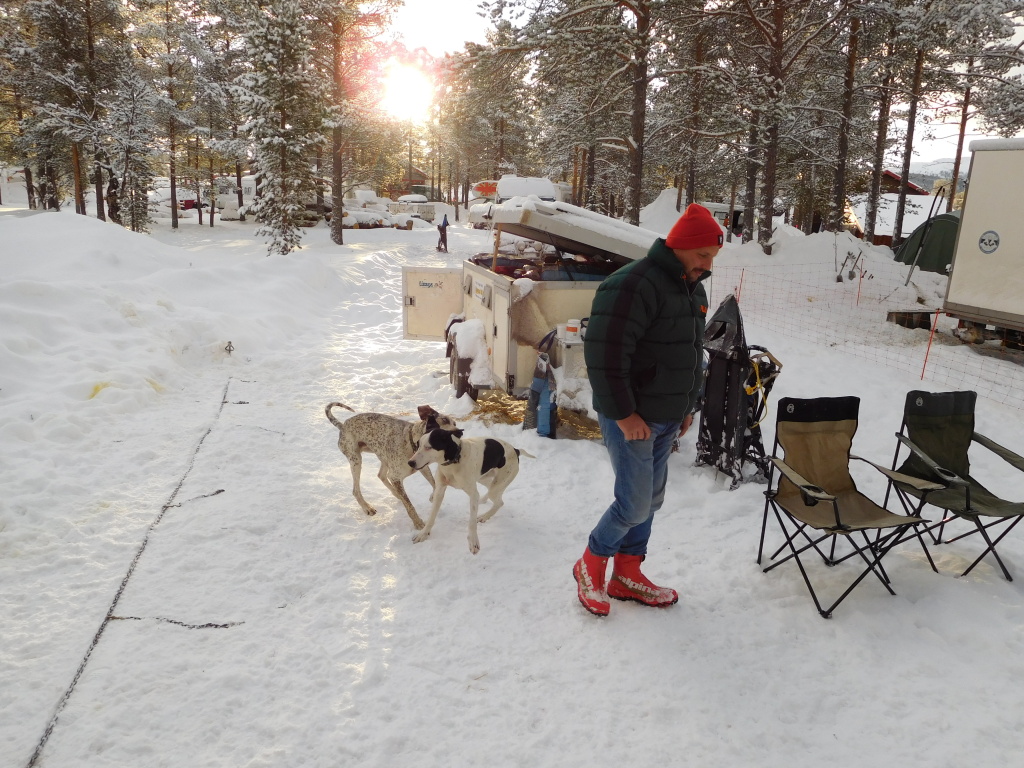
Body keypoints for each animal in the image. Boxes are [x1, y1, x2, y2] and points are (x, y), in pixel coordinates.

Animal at [325, 402, 457, 530]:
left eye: (455, 423)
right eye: (444, 420)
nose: (459, 432)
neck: (412, 444)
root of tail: (342, 426)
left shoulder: (423, 468)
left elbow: (435, 485)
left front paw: (433, 497)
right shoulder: (396, 478)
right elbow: (409, 505)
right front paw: (418, 523)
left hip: (382, 456)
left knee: (381, 475)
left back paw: (395, 494)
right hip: (356, 460)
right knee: (356, 490)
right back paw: (367, 507)